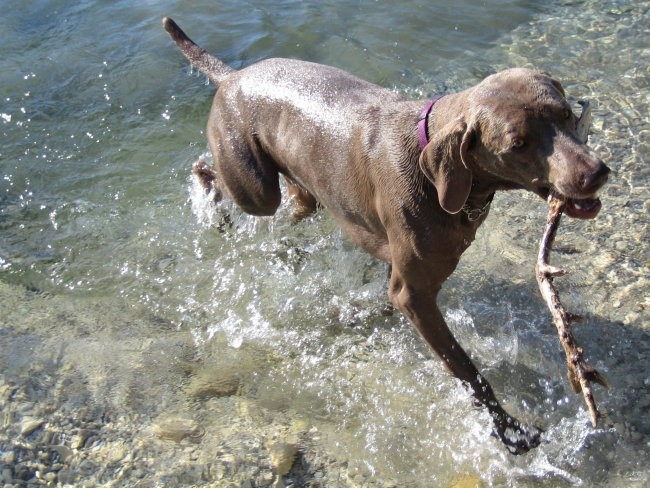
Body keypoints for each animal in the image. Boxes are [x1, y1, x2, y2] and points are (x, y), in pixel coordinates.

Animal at [162, 18, 608, 454]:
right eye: (518, 143)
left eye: (566, 114)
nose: (596, 172)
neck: (439, 176)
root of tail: (233, 76)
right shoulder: (413, 294)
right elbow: (466, 368)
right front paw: (509, 429)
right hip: (253, 186)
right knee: (220, 177)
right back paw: (208, 197)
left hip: (302, 189)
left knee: (297, 201)